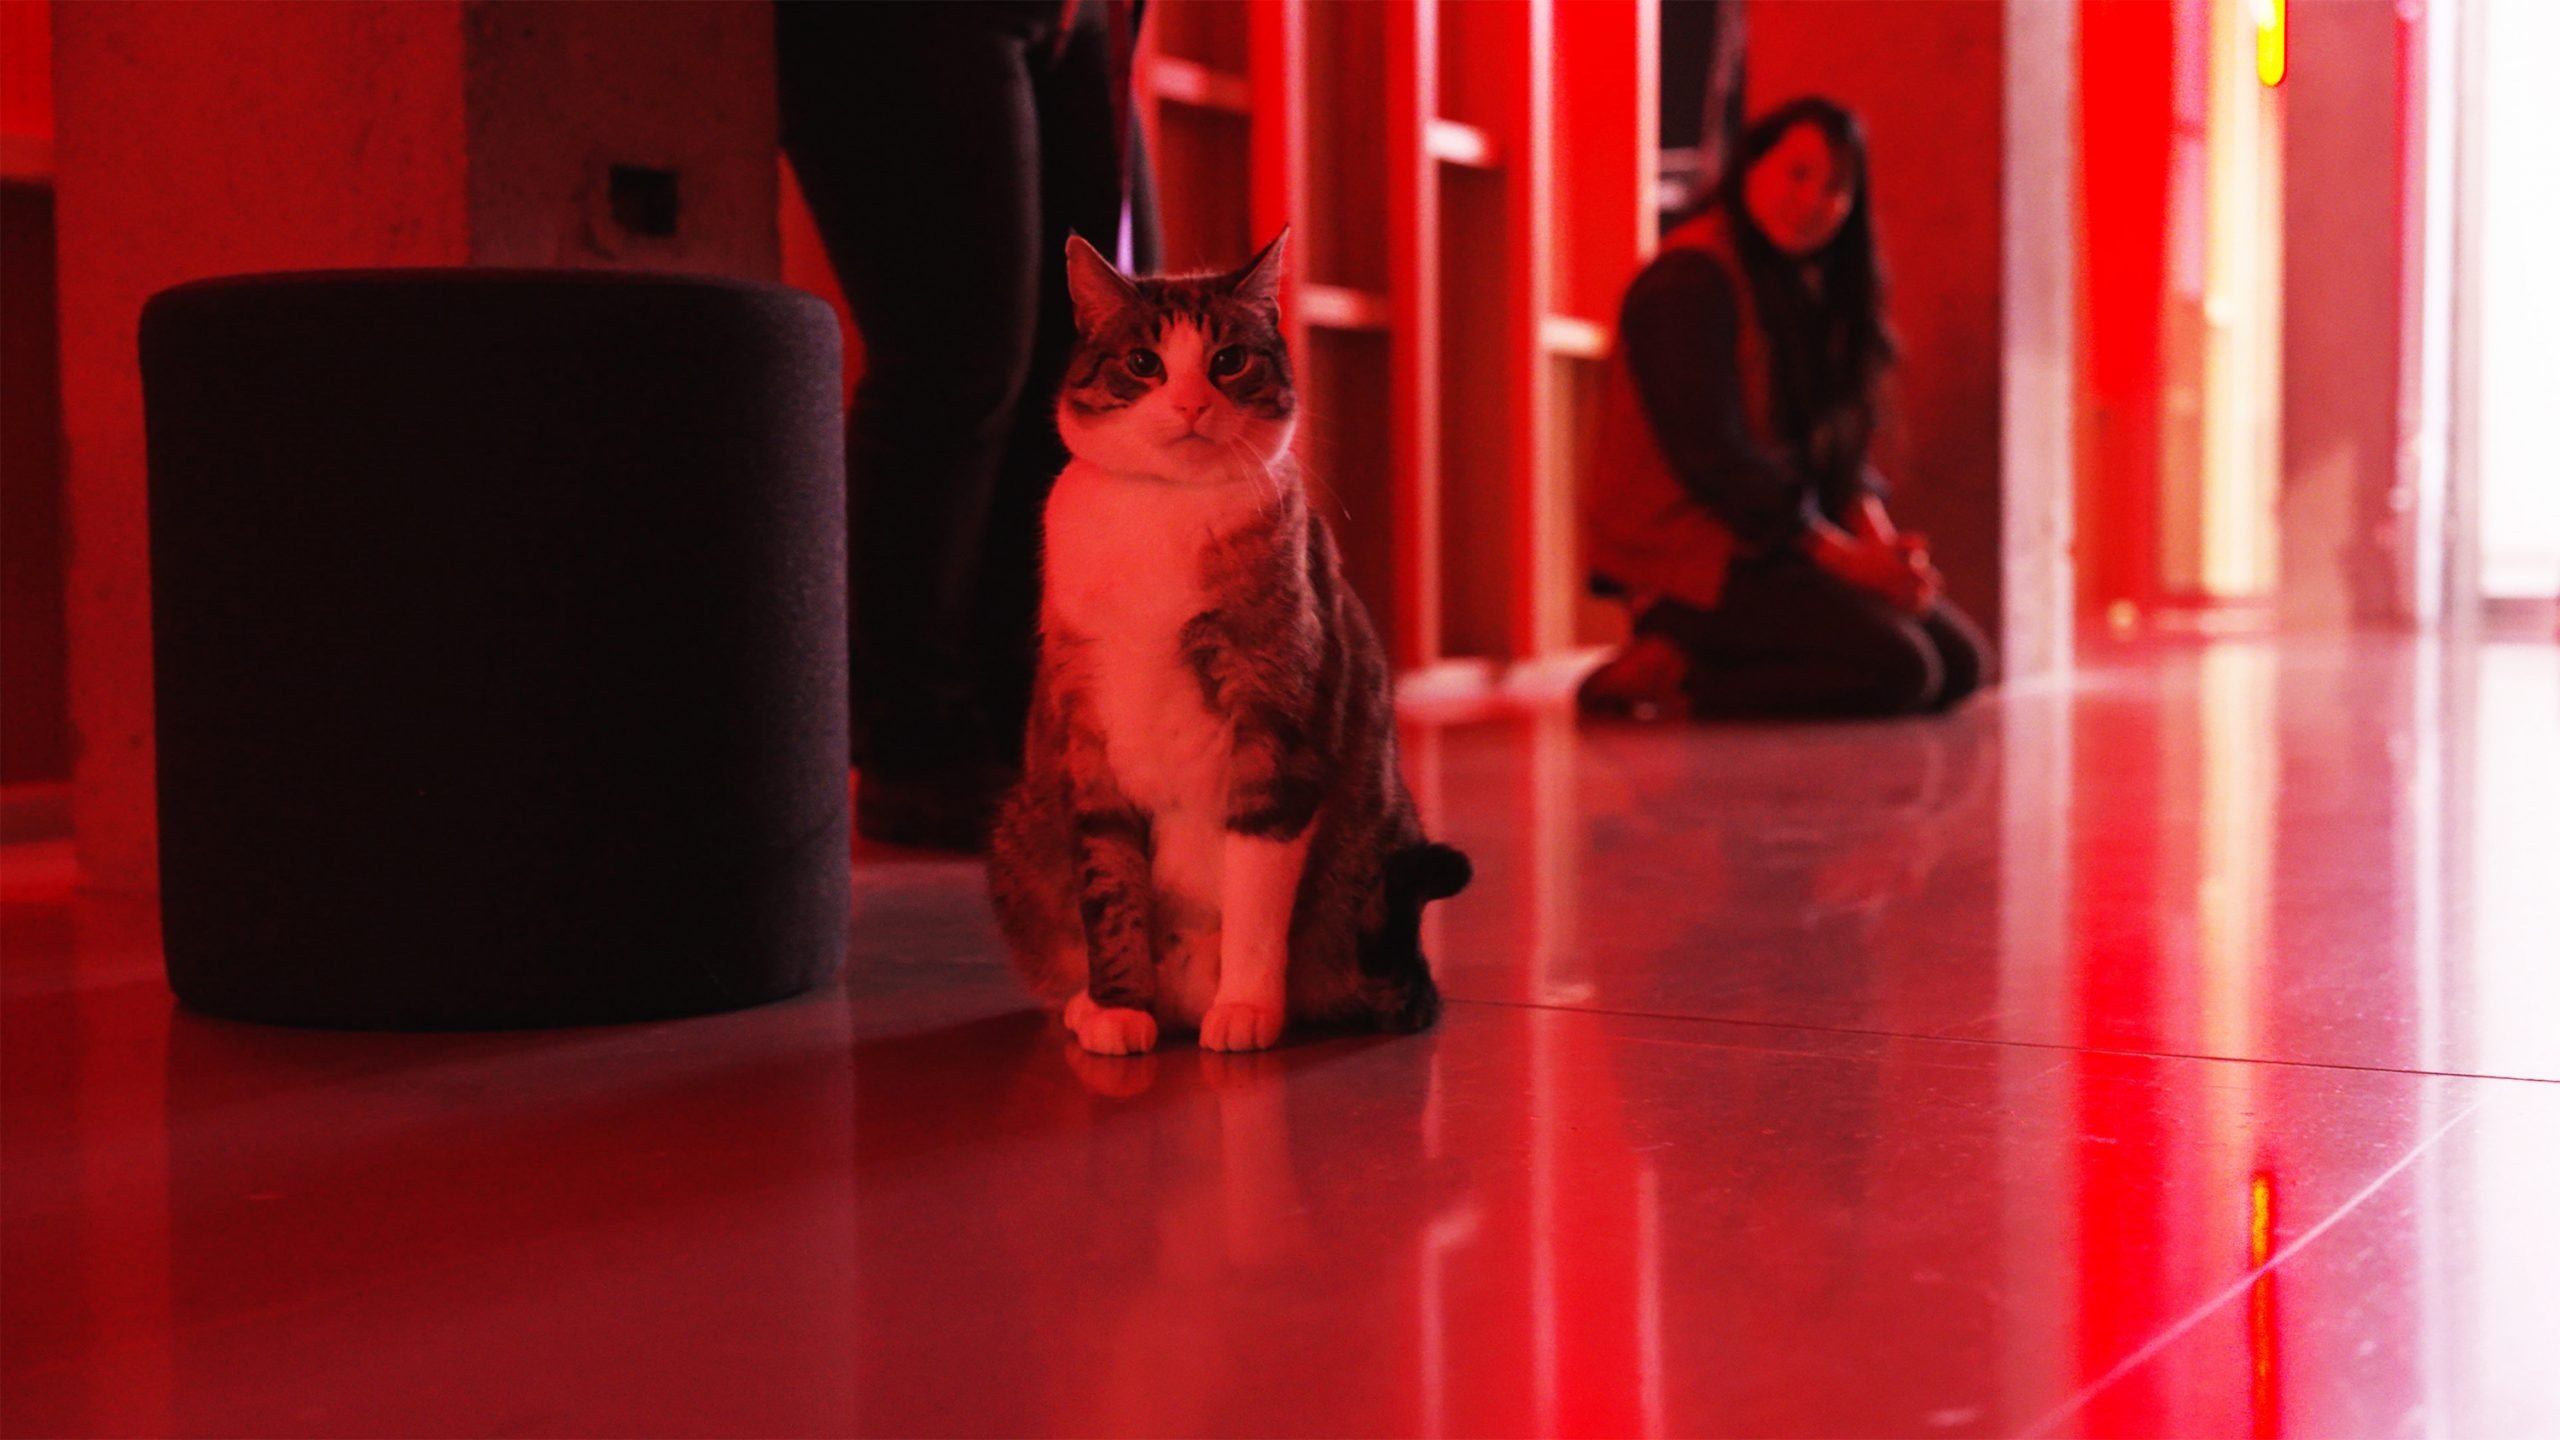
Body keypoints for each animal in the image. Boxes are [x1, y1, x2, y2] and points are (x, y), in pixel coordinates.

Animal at [998, 226, 1484, 1055]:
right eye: (1144, 363)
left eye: (1229, 360)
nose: (1193, 402)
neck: (1164, 509)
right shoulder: (1085, 730)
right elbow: (1109, 881)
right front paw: (1120, 1007)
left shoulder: (1276, 722)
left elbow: (1256, 886)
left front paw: (1248, 1008)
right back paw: (1095, 1005)